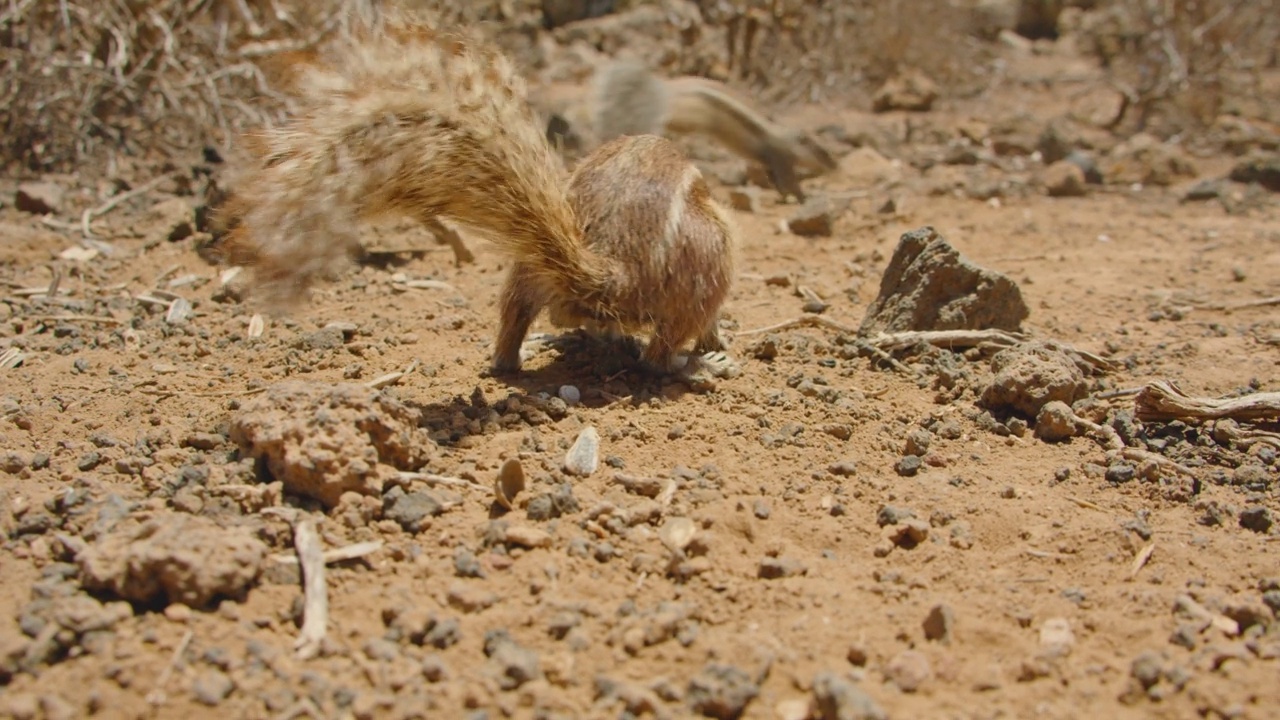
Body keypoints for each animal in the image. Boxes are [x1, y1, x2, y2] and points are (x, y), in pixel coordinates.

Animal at [221, 12, 742, 376]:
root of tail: (614, 267)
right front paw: (715, 346)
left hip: (528, 267)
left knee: (527, 319)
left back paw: (518, 358)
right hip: (709, 261)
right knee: (661, 352)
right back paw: (699, 367)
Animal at [552, 60, 834, 199]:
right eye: (824, 152)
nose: (836, 167)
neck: (786, 137)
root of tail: (670, 93)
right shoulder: (780, 157)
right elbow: (788, 182)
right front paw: (801, 196)